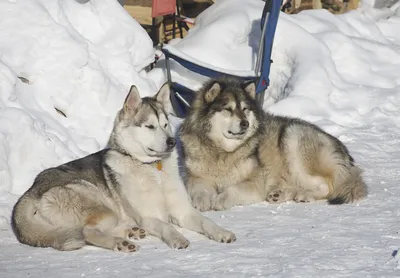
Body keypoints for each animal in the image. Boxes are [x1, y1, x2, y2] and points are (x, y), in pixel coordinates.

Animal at [10, 84, 236, 252]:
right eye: (149, 126)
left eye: (165, 124)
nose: (172, 142)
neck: (153, 169)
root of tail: (30, 191)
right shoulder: (149, 217)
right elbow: (165, 225)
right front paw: (177, 237)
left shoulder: (184, 212)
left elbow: (205, 221)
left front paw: (221, 232)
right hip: (98, 202)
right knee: (87, 232)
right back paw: (121, 243)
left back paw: (131, 232)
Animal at [180, 76, 368, 211]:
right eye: (228, 109)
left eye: (245, 109)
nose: (245, 123)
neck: (222, 152)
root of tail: (345, 155)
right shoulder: (196, 178)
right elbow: (201, 190)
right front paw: (202, 202)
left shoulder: (255, 183)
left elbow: (232, 190)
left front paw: (220, 199)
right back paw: (280, 194)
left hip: (293, 140)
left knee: (325, 187)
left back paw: (303, 195)